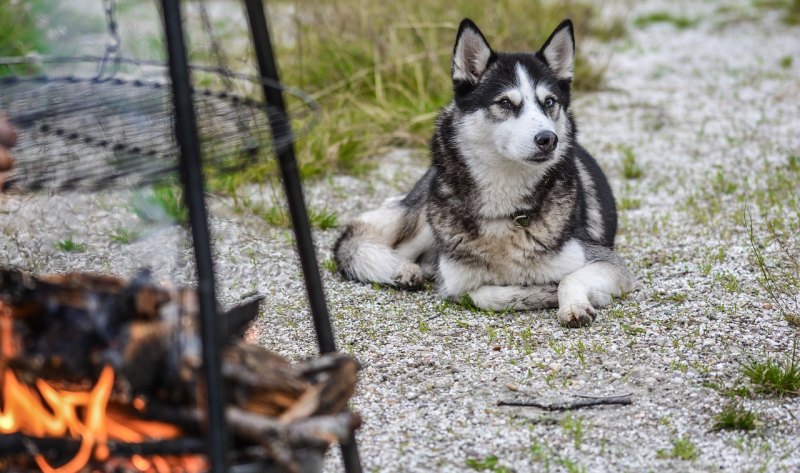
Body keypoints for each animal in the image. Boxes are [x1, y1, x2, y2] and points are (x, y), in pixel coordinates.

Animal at [334, 20, 636, 326]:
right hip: (425, 221)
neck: (504, 206)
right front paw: (539, 293)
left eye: (549, 102)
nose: (548, 139)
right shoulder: (457, 284)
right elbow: (482, 294)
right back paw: (405, 269)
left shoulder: (608, 263)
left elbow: (569, 279)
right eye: (505, 103)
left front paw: (573, 305)